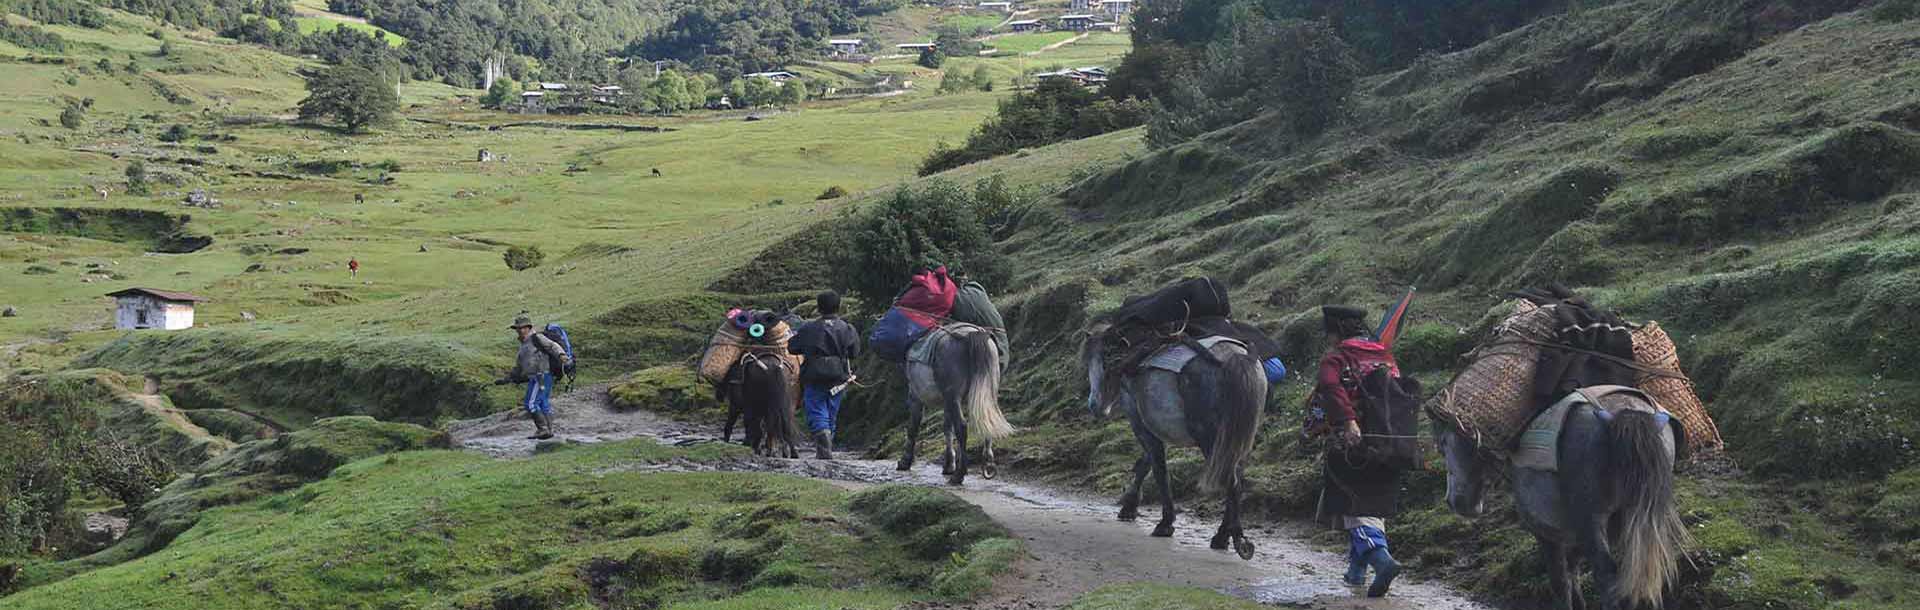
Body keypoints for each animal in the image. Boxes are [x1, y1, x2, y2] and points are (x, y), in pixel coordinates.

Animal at [894, 324, 1021, 485]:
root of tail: (974, 334)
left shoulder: (916, 397)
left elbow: (913, 428)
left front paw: (905, 462)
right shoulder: (947, 402)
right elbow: (947, 428)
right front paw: (949, 464)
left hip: (953, 395)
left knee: (962, 426)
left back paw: (959, 474)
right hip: (985, 393)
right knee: (987, 421)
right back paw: (987, 463)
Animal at [1090, 326, 1267, 560]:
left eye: (1097, 360)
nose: (1093, 405)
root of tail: (1236, 358)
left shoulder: (1140, 422)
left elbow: (1158, 470)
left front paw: (1164, 523)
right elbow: (1146, 463)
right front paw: (1130, 507)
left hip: (1211, 439)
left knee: (1232, 482)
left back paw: (1236, 538)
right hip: (1240, 438)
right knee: (1237, 478)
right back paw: (1223, 536)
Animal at [1436, 387, 1689, 606]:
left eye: (1444, 444)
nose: (1455, 501)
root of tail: (1624, 415)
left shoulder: (1546, 533)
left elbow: (1561, 583)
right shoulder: (1576, 536)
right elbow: (1573, 576)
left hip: (1592, 521)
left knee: (1606, 577)